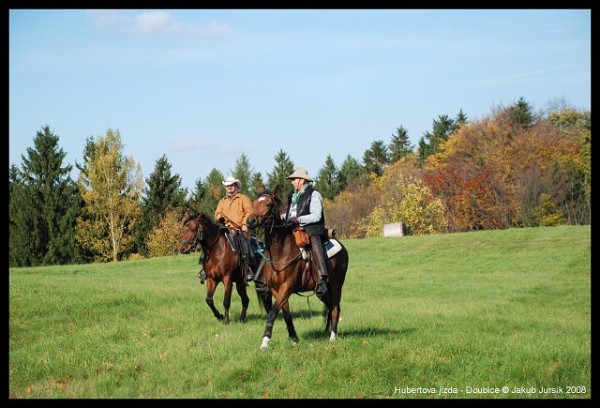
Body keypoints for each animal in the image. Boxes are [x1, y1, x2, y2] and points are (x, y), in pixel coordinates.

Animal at [246, 186, 350, 350]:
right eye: (255, 202)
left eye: (268, 204)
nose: (250, 221)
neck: (282, 250)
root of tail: (342, 248)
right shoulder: (276, 290)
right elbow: (286, 314)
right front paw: (294, 338)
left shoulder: (287, 287)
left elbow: (272, 313)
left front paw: (265, 341)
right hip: (321, 291)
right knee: (330, 305)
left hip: (336, 285)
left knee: (335, 307)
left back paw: (333, 337)